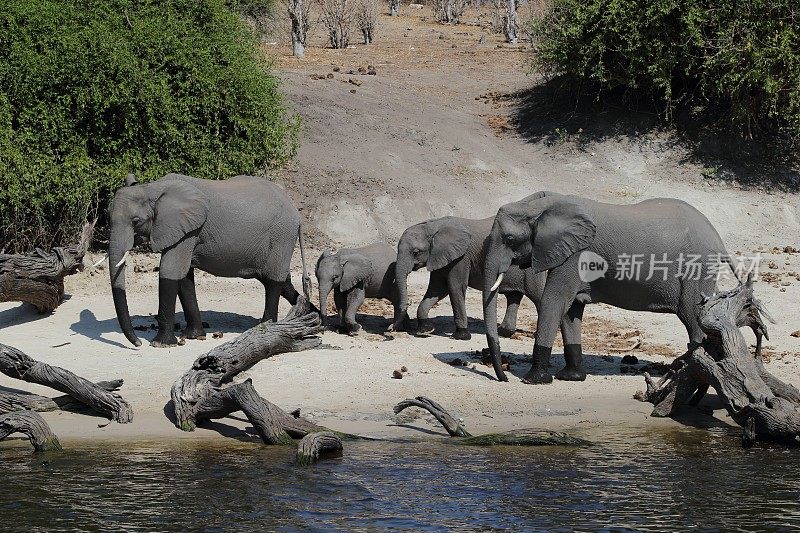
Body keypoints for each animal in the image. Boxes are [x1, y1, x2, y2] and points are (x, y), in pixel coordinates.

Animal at [106, 172, 306, 348]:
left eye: (136, 221)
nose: (138, 344)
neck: (152, 188)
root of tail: (296, 211)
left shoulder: (189, 230)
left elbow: (170, 271)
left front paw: (160, 344)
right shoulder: (184, 230)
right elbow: (184, 276)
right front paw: (193, 336)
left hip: (281, 236)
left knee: (273, 281)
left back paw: (266, 327)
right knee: (280, 281)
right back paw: (308, 313)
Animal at [390, 214, 552, 338]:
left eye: (416, 252)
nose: (391, 329)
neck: (434, 225)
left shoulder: (462, 257)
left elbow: (454, 288)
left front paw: (461, 335)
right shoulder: (439, 256)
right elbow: (437, 290)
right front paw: (425, 330)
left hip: (532, 270)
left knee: (537, 297)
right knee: (513, 296)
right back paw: (504, 333)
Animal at [482, 190, 736, 382]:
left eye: (510, 239)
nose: (503, 377)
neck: (541, 206)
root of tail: (718, 239)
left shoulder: (576, 255)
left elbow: (554, 301)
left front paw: (533, 380)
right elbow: (571, 309)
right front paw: (572, 377)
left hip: (696, 269)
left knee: (693, 317)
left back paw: (684, 368)